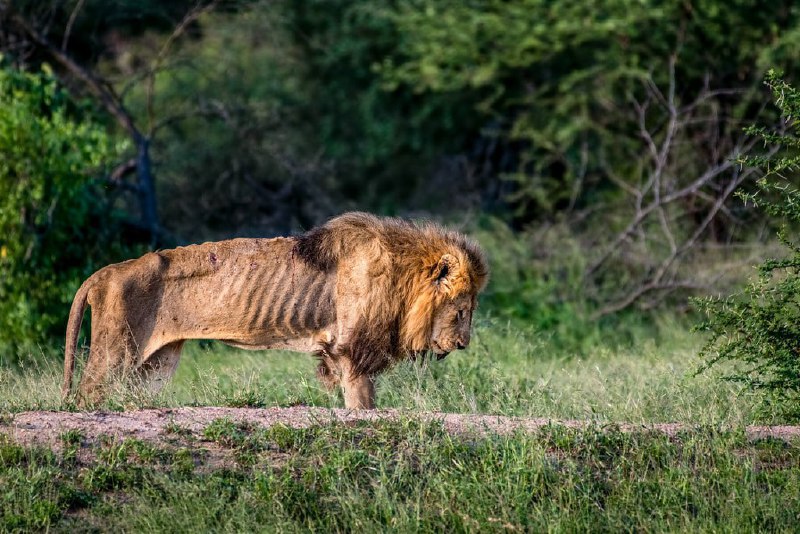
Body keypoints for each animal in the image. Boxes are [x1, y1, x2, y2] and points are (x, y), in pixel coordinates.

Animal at [62, 211, 488, 408]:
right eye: (461, 311)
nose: (463, 344)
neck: (402, 275)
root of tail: (104, 272)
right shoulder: (352, 351)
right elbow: (363, 404)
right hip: (115, 354)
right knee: (86, 396)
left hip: (154, 366)